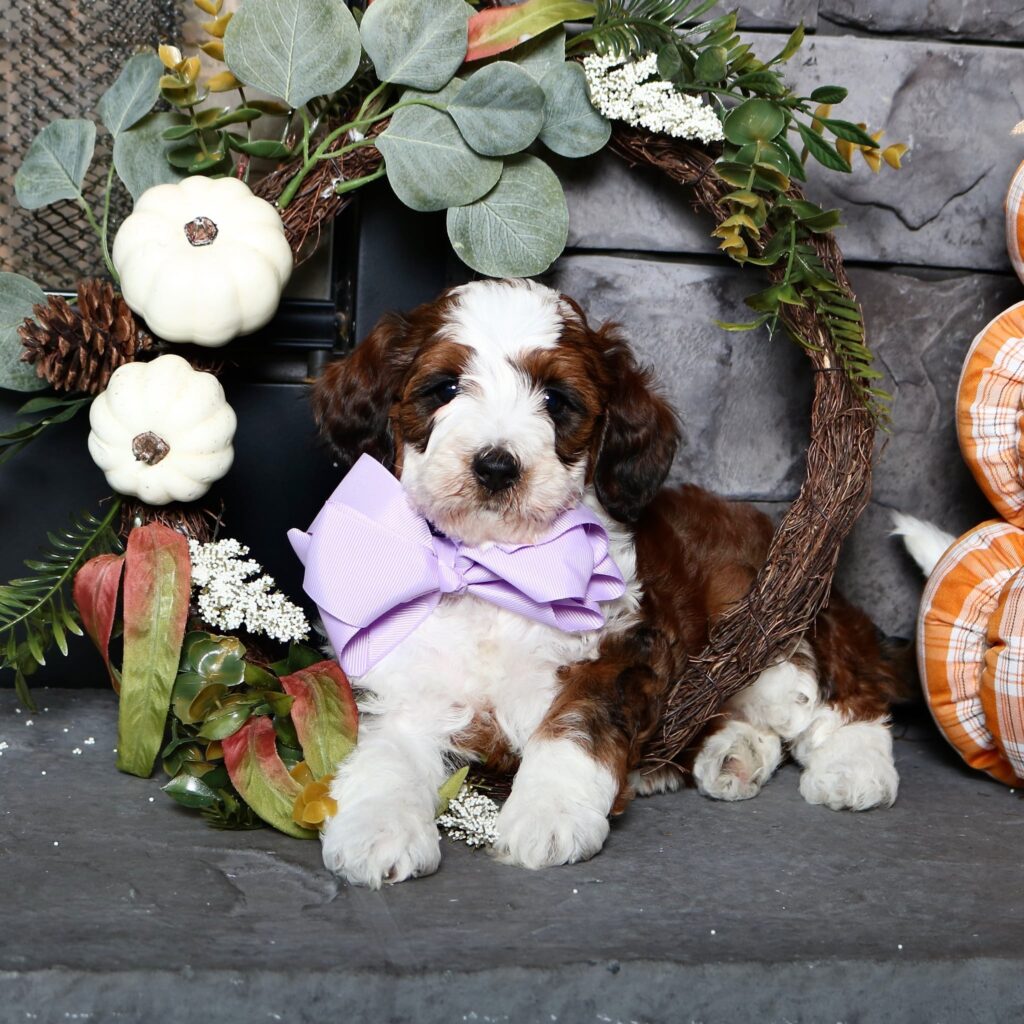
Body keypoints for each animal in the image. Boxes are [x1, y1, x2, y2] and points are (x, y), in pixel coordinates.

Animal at [307, 276, 901, 884]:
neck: (494, 568)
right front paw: (377, 829)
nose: (496, 466)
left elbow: (574, 727)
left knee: (848, 682)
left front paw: (548, 814)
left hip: (768, 587)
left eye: (555, 400)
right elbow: (386, 752)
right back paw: (735, 754)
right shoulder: (398, 680)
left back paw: (848, 761)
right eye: (445, 387)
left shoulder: (616, 648)